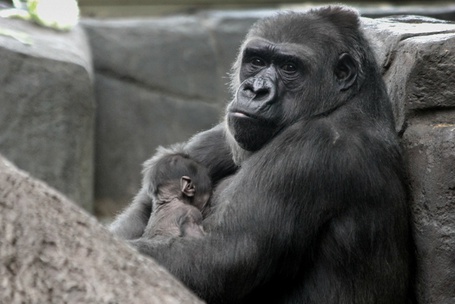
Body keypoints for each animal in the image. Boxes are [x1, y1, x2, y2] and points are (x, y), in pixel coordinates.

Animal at [109, 5, 414, 304]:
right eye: (256, 61)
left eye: (289, 67)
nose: (255, 90)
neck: (341, 103)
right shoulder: (229, 131)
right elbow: (142, 209)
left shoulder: (312, 148)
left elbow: (223, 255)